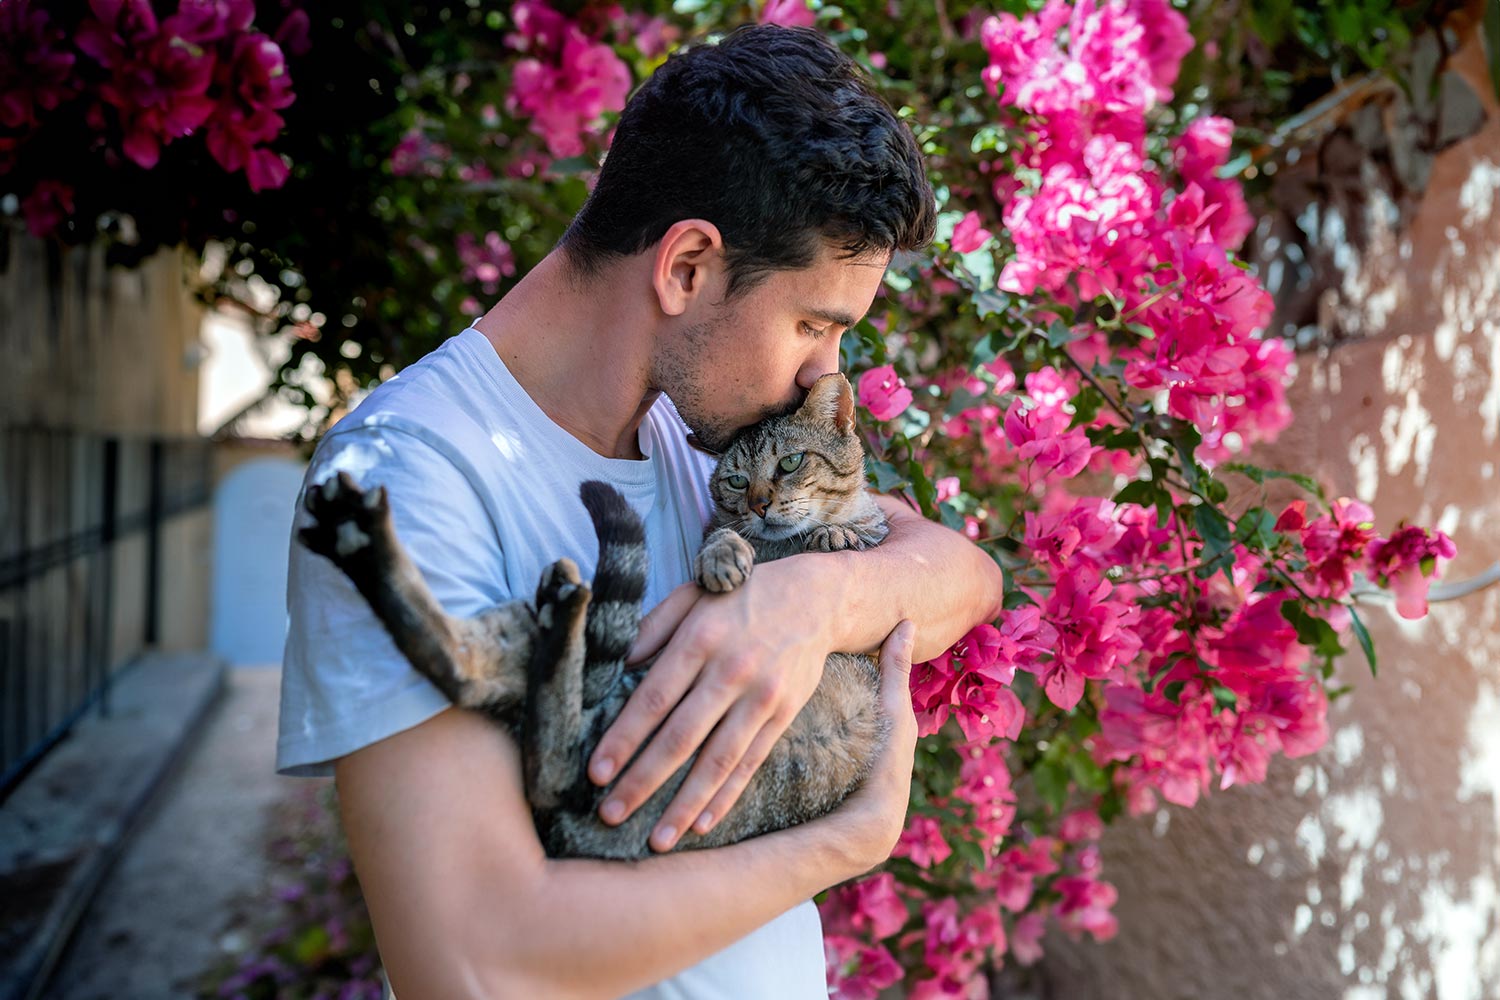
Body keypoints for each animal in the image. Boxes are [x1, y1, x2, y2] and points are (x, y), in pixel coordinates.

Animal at [301, 374, 888, 863]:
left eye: (790, 463)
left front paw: (835, 534)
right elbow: (723, 534)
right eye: (737, 482)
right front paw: (724, 555)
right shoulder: (730, 529)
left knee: (514, 720)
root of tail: (561, 829)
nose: (761, 505)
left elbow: (853, 532)